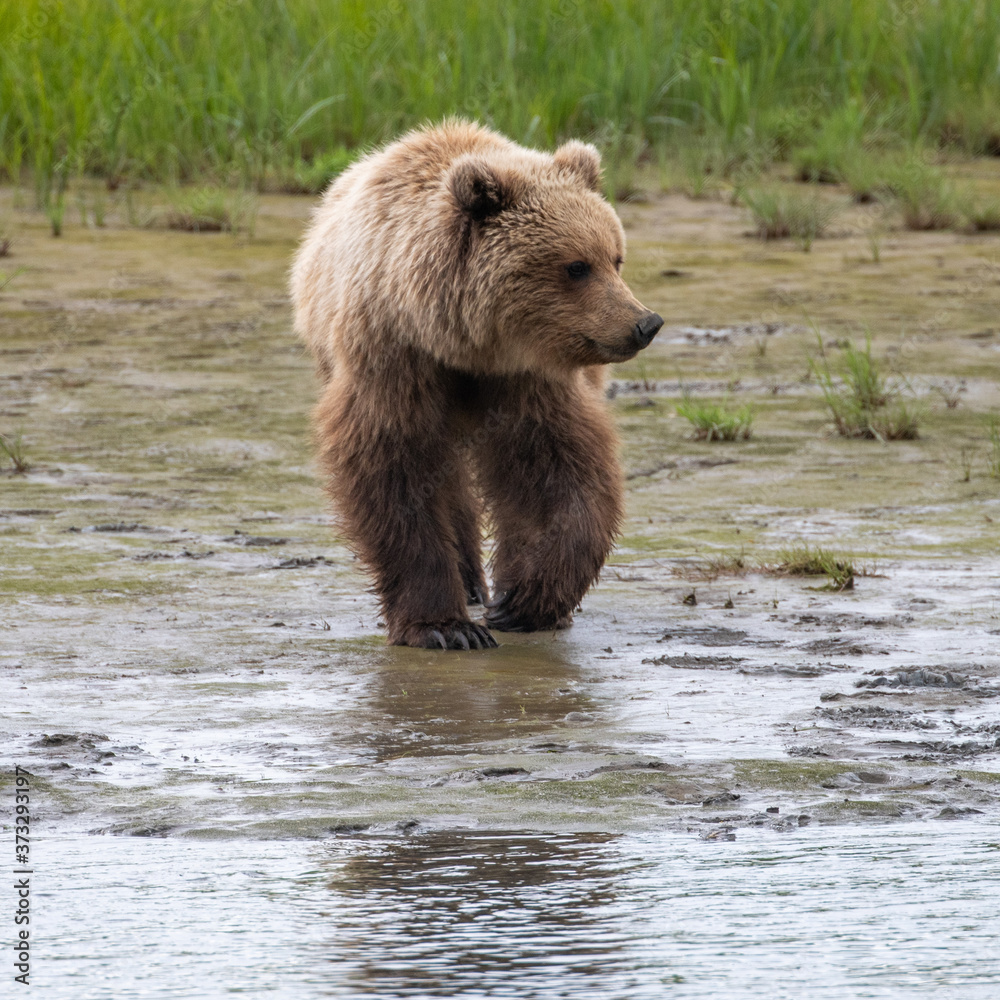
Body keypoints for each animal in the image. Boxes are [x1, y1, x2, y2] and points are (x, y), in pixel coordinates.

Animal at [290, 120, 663, 649]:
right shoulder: (394, 357)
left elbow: (561, 467)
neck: (464, 343)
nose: (645, 323)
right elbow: (393, 472)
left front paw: (524, 600)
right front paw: (445, 627)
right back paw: (466, 581)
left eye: (616, 258)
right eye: (576, 266)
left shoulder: (527, 377)